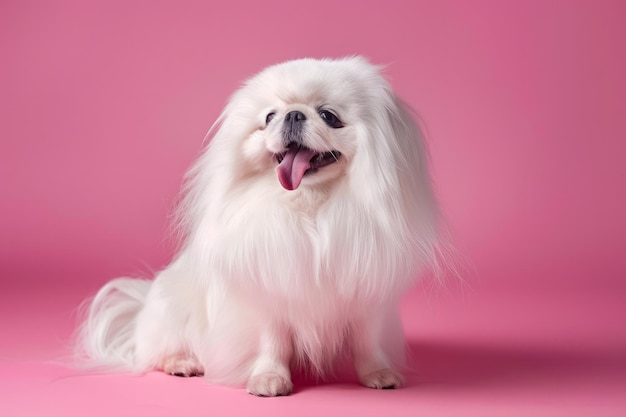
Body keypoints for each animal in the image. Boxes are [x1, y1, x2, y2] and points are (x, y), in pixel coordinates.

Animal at [78, 56, 446, 396]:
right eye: (269, 117)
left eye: (329, 115)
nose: (293, 114)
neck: (309, 207)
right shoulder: (269, 292)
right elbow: (273, 343)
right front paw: (269, 379)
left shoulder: (366, 294)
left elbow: (367, 342)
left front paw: (377, 374)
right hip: (172, 307)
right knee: (160, 349)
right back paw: (183, 362)